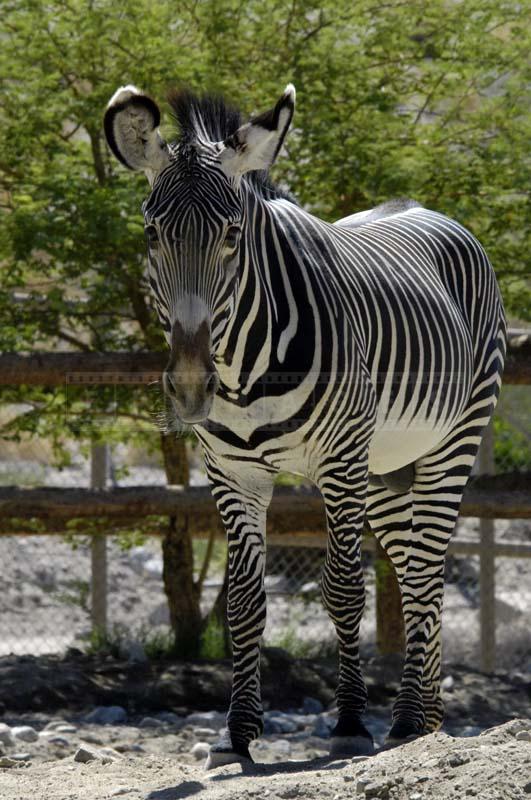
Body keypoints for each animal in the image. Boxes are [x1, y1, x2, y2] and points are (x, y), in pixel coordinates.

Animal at [103, 83, 506, 767]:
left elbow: (342, 588)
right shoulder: (233, 474)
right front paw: (238, 733)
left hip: (452, 439)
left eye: (232, 235)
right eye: (153, 233)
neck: (243, 370)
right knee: (411, 569)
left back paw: (406, 718)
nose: (191, 387)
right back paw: (426, 716)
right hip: (386, 467)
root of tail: (427, 209)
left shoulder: (340, 461)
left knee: (427, 566)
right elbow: (242, 602)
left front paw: (348, 722)